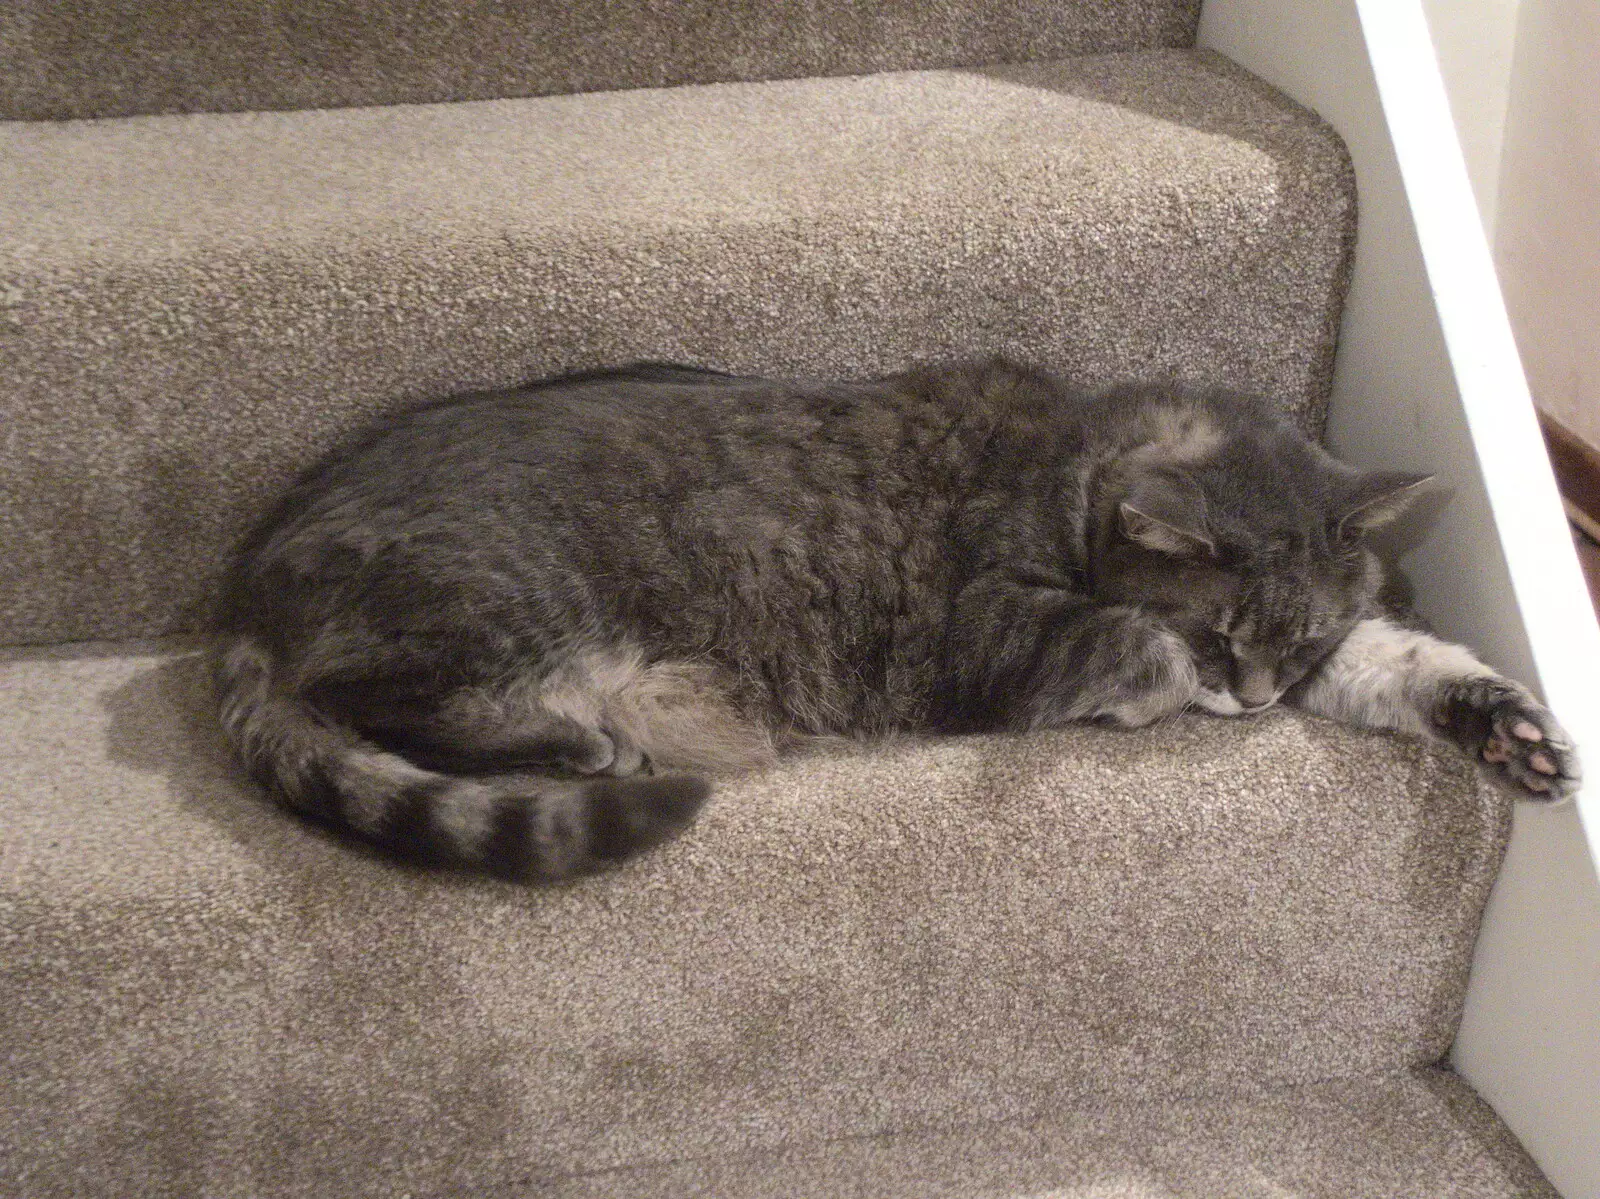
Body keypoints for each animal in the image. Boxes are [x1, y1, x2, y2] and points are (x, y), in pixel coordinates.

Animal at [219, 360, 1580, 877]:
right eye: (1220, 634)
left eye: (1289, 644)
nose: (1249, 703)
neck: (1074, 458)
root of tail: (249, 571)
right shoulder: (987, 634)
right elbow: (1122, 640)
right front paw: (1159, 682)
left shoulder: (1340, 650)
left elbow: (1405, 658)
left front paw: (1507, 722)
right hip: (511, 604)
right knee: (368, 696)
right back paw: (579, 738)